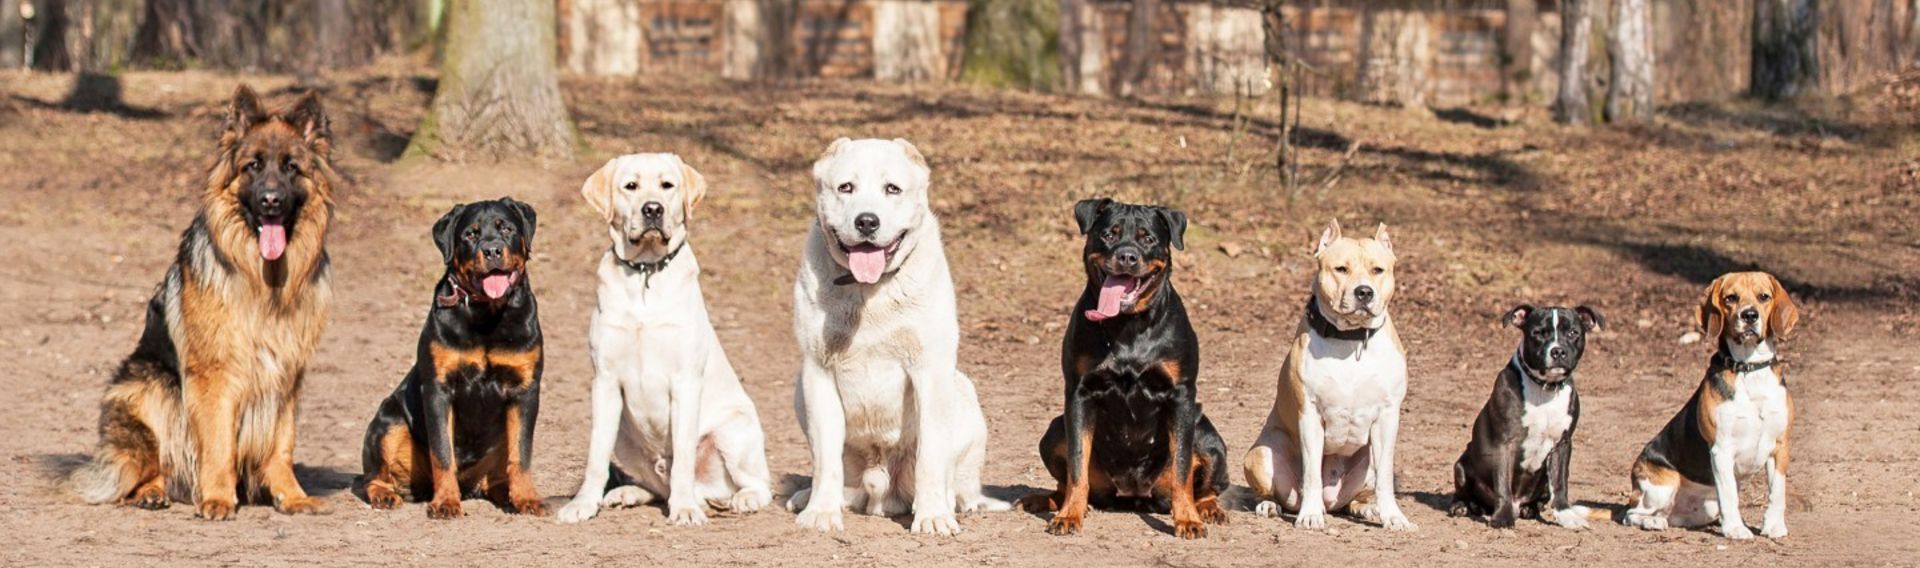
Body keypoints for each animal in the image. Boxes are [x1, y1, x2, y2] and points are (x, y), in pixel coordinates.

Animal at [72, 86, 337, 521]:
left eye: (291, 168)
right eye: (253, 166)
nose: (271, 201)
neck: (264, 280)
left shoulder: (286, 375)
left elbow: (282, 444)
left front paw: (291, 495)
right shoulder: (215, 375)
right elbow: (218, 443)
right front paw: (217, 498)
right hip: (148, 389)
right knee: (148, 468)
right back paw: (152, 492)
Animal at [357, 198, 549, 518]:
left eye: (507, 229)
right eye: (470, 234)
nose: (492, 250)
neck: (487, 314)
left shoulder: (525, 390)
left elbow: (521, 453)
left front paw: (527, 499)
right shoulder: (438, 389)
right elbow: (442, 452)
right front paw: (446, 502)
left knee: (499, 472)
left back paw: (505, 494)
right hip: (388, 420)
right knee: (372, 476)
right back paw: (385, 495)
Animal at [1021, 197, 1228, 537]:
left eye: (1148, 239)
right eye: (1109, 234)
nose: (1127, 256)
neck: (1128, 326)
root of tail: (1135, 494)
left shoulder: (1181, 395)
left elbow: (1182, 465)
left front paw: (1187, 519)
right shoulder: (1079, 393)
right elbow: (1077, 463)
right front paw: (1069, 515)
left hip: (1209, 439)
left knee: (1206, 484)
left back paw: (1208, 509)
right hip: (1053, 432)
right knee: (1066, 481)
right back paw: (1047, 501)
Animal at [1635, 272, 1797, 537]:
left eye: (1764, 296)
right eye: (1730, 298)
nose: (1749, 315)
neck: (1749, 369)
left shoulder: (1780, 447)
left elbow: (1777, 492)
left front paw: (1773, 526)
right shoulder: (1721, 449)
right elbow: (1729, 494)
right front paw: (1735, 530)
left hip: (1704, 507)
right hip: (1663, 485)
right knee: (1630, 513)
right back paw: (1651, 522)